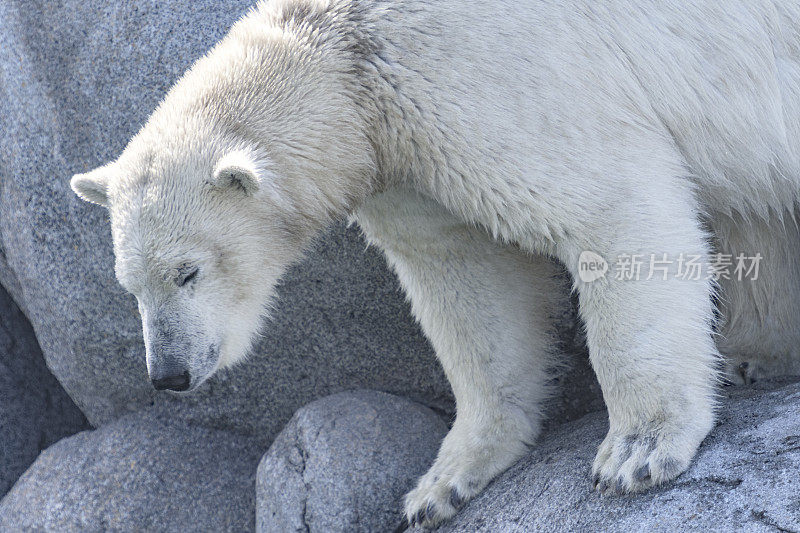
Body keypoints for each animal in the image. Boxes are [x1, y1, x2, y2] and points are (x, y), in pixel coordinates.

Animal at [70, 0, 800, 524]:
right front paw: (442, 484)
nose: (169, 373)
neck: (351, 58)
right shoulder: (406, 152)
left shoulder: (487, 78)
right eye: (130, 286)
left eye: (188, 271)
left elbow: (611, 205)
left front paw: (636, 455)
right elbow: (467, 279)